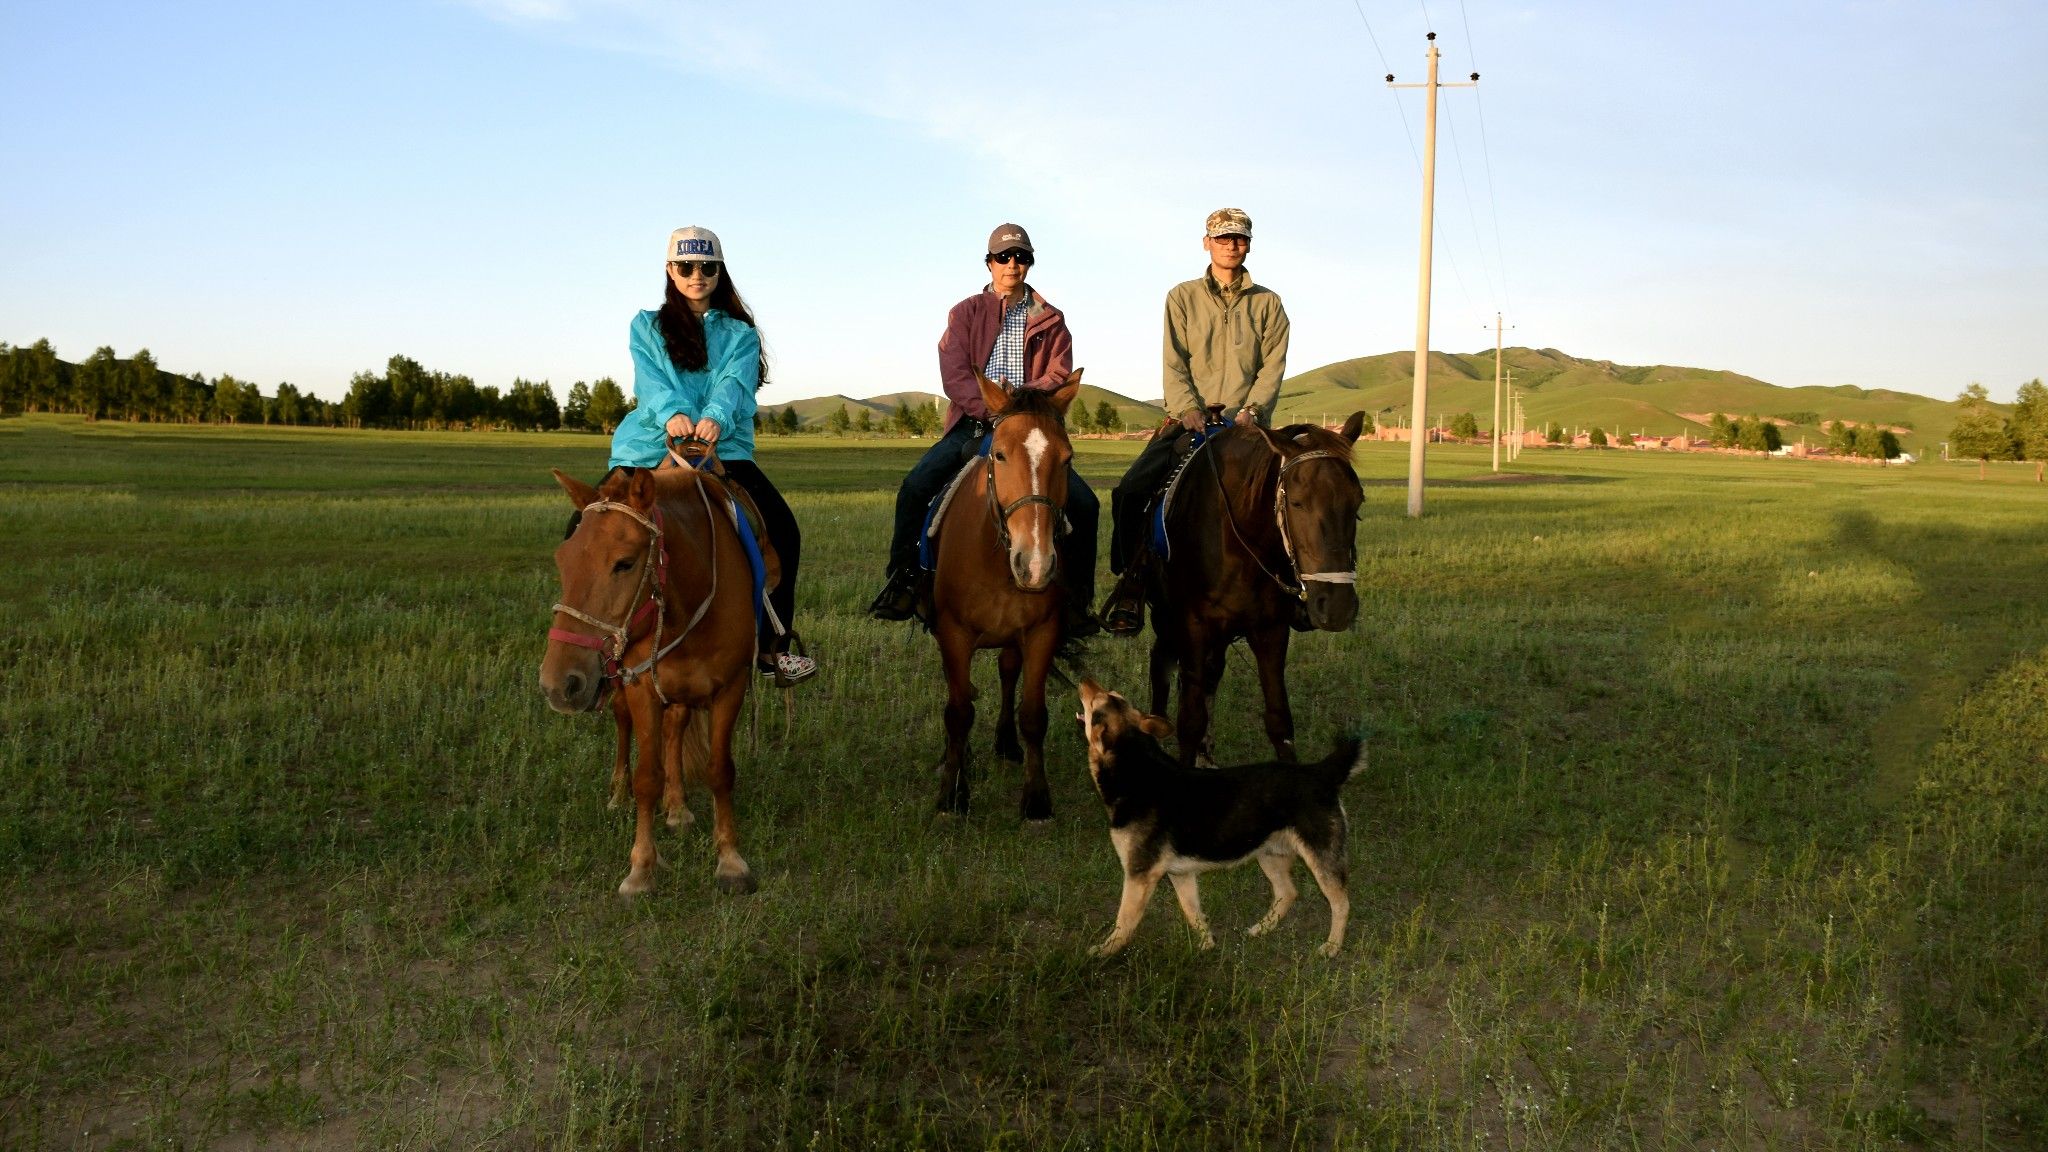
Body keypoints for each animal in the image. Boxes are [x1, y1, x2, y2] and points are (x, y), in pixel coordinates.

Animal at [540, 461, 765, 893]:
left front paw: (730, 861)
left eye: (625, 562)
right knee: (623, 725)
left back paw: (677, 808)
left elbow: (719, 770)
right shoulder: (640, 685)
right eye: (562, 560)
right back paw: (618, 796)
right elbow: (647, 776)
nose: (558, 684)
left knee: (675, 728)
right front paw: (641, 868)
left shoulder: (730, 687)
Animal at [929, 366, 1089, 815]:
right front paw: (952, 793)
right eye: (999, 455)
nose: (1034, 564)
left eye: (1067, 458)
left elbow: (1033, 714)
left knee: (1006, 671)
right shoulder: (953, 633)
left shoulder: (1041, 632)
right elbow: (958, 711)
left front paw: (1036, 799)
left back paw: (1006, 743)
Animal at [1073, 676, 1359, 955]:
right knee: (1288, 892)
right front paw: (1206, 944)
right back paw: (1261, 928)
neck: (1135, 768)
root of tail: (1319, 772)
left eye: (1097, 700)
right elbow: (1193, 912)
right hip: (1269, 854)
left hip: (1321, 861)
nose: (1084, 679)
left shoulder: (1139, 876)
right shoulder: (1180, 874)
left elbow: (1124, 920)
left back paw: (1332, 947)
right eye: (1112, 695)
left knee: (1341, 903)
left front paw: (1105, 951)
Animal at [1146, 409, 1368, 762]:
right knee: (1162, 662)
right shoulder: (1193, 626)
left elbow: (1279, 722)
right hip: (1166, 618)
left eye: (1358, 501)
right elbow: (1190, 721)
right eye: (1297, 502)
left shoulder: (1270, 630)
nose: (1337, 607)